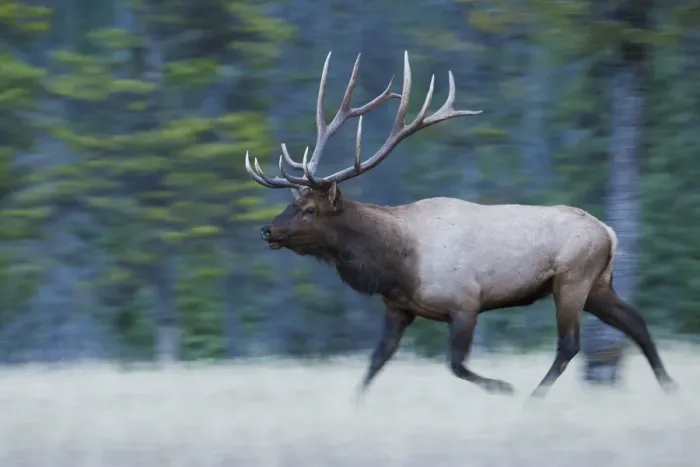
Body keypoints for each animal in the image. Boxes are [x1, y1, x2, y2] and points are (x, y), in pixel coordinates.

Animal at [244, 51, 677, 399]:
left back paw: (532, 398)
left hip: (572, 279)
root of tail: (610, 232)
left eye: (309, 209)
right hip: (597, 283)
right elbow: (374, 363)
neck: (396, 263)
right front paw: (352, 406)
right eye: (291, 202)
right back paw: (670, 386)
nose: (268, 231)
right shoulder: (397, 308)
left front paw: (502, 387)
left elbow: (454, 364)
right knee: (635, 322)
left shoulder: (465, 303)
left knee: (569, 344)